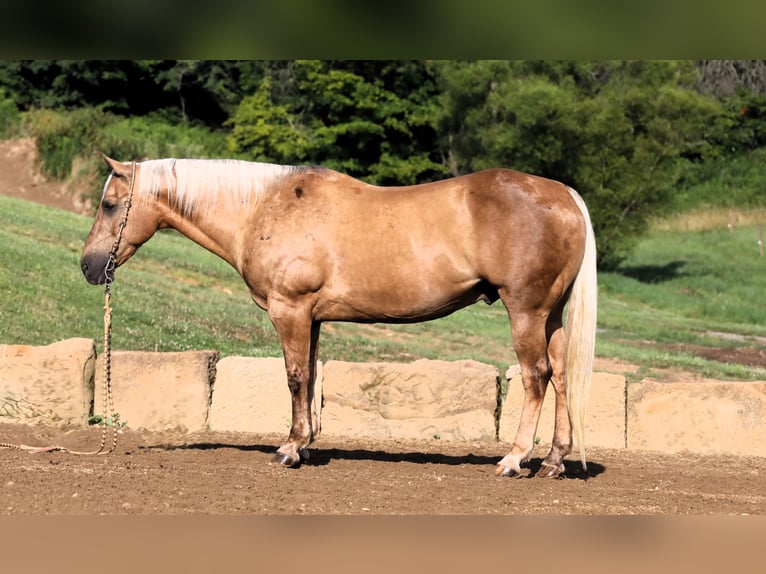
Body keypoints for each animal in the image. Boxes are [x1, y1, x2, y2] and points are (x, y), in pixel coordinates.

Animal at [82, 155, 600, 480]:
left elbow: (294, 377)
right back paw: (554, 461)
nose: (89, 266)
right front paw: (306, 444)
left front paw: (290, 449)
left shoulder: (290, 309)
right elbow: (310, 378)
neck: (264, 208)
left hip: (526, 312)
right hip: (550, 316)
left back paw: (514, 459)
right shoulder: (311, 318)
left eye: (109, 205)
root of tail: (565, 195)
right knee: (561, 378)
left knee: (536, 377)